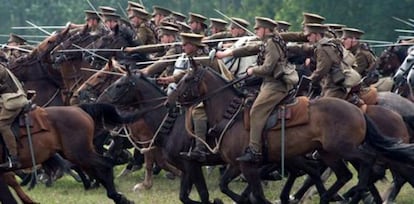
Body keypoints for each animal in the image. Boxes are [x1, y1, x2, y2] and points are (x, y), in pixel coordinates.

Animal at [0, 103, 141, 204]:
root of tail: (78, 108)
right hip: (76, 154)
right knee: (96, 169)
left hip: (80, 153)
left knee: (104, 165)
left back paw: (117, 196)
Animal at [166, 62, 414, 204]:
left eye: (187, 79)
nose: (170, 101)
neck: (231, 115)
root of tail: (359, 111)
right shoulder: (238, 164)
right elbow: (226, 186)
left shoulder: (249, 166)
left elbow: (254, 193)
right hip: (329, 153)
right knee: (346, 175)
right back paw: (332, 197)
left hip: (346, 149)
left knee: (370, 163)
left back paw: (354, 195)